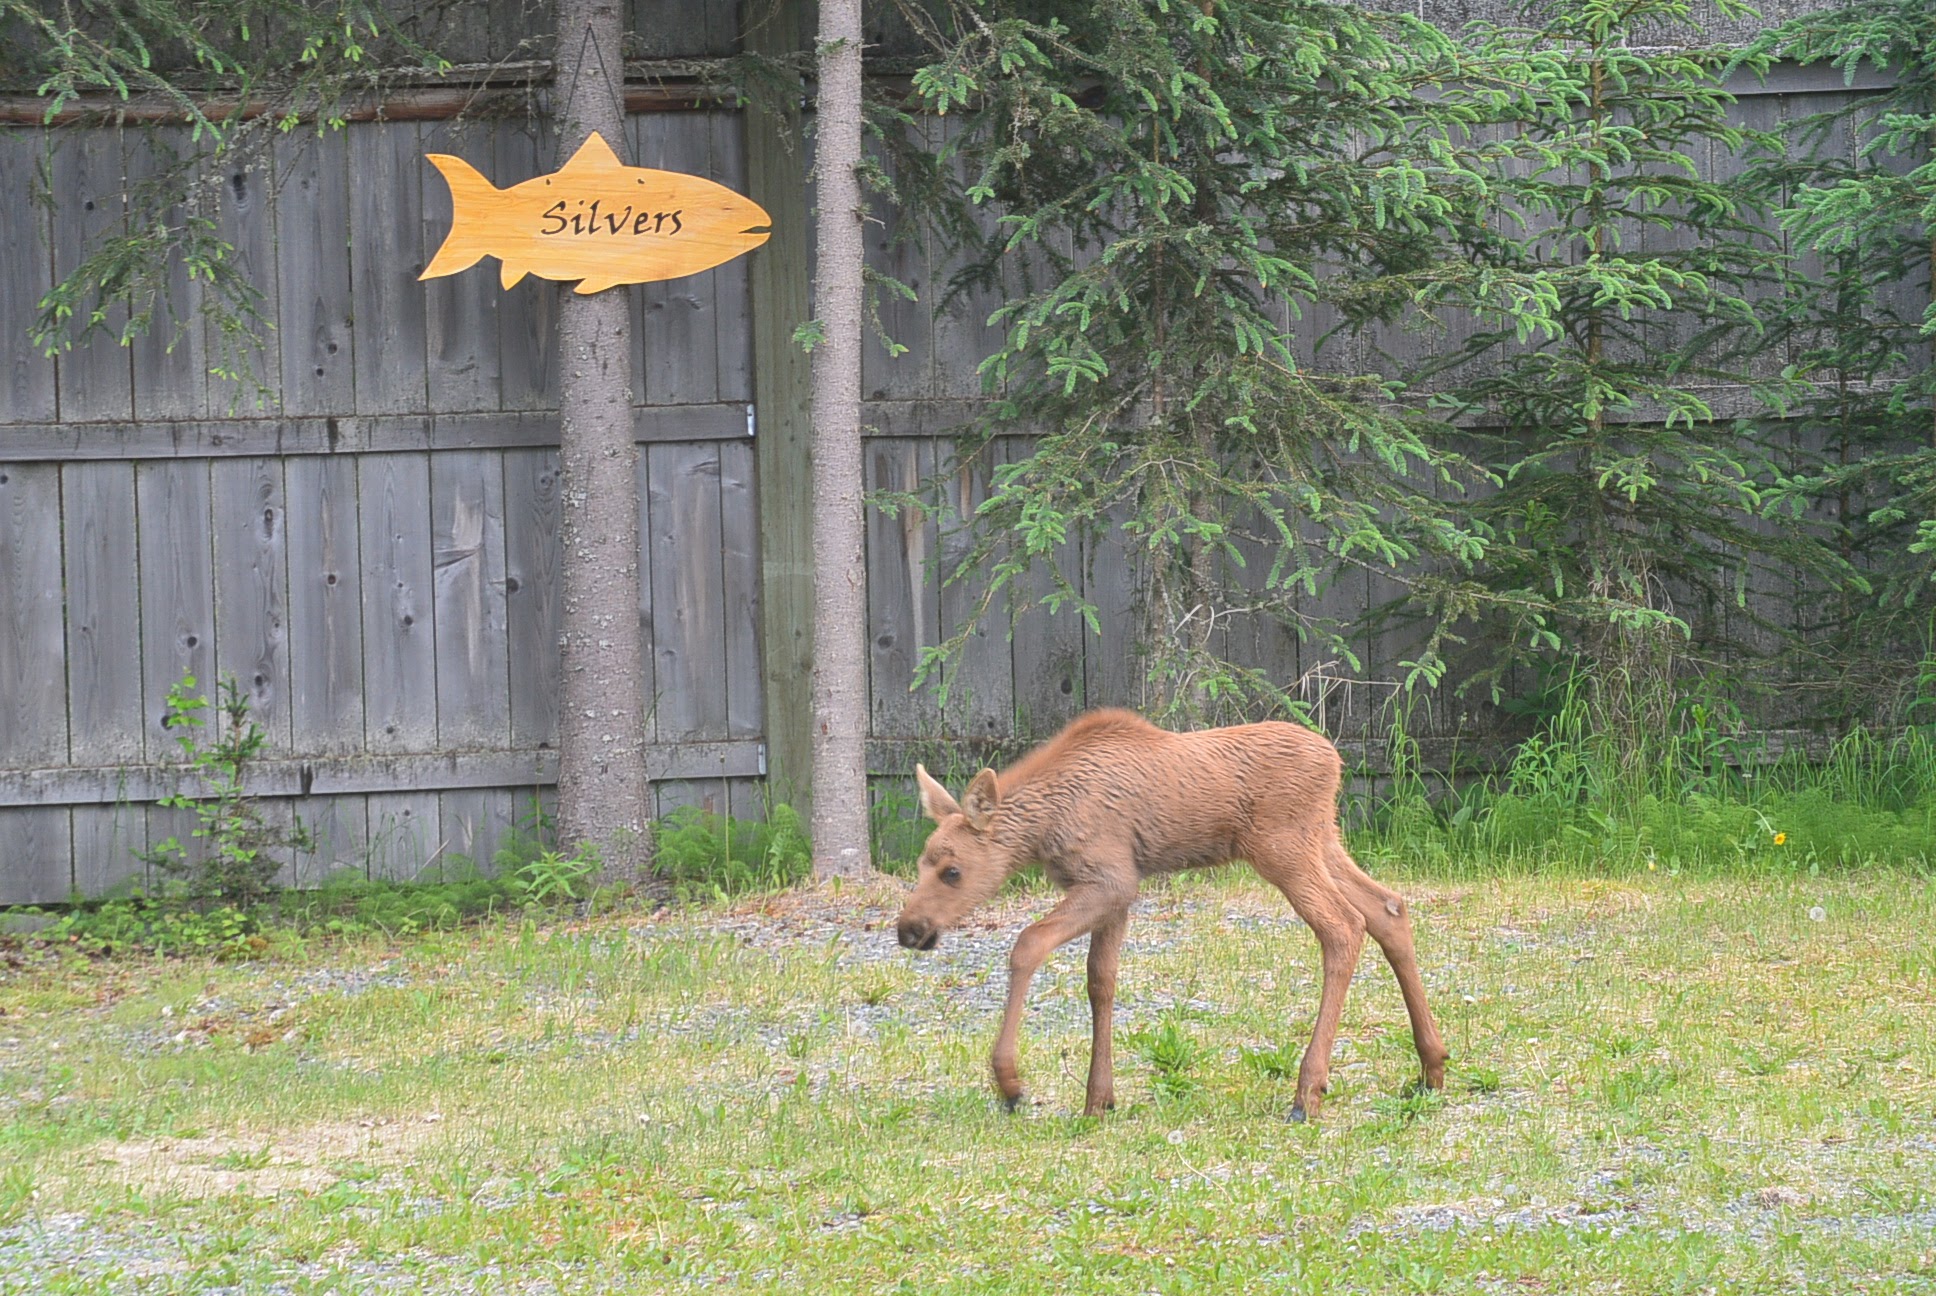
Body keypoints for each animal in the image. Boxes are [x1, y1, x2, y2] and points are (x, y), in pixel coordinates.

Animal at [898, 701, 1448, 1115]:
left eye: (952, 871)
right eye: (921, 863)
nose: (909, 929)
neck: (1044, 826)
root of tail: (1335, 760)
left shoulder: (1111, 881)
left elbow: (1028, 943)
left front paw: (1010, 1083)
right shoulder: (1116, 890)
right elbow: (1101, 980)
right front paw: (1098, 1100)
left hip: (1282, 848)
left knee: (1343, 926)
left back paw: (1307, 1091)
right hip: (1322, 839)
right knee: (1387, 908)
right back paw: (1431, 1066)